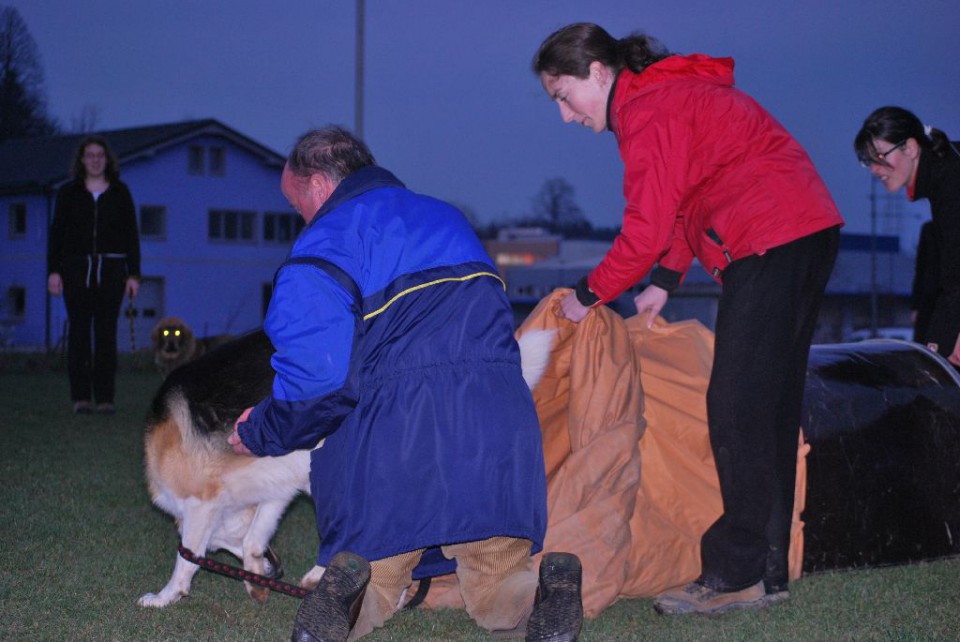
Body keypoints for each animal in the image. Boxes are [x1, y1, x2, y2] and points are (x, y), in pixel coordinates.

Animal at [137, 324, 556, 604]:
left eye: (222, 546)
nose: (279, 572)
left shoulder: (202, 503)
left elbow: (187, 559)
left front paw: (166, 595)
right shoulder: (280, 483)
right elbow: (256, 538)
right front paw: (256, 578)